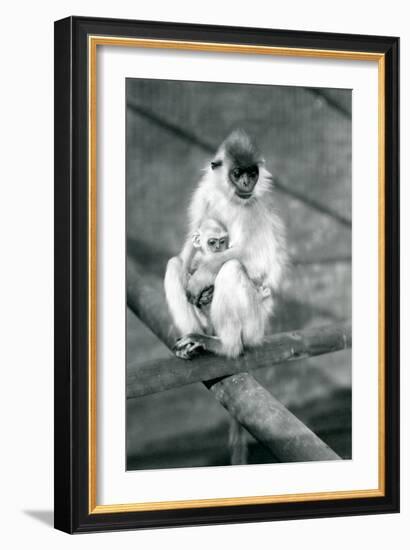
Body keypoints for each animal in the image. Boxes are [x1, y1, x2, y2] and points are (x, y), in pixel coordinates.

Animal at [165, 130, 286, 362]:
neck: (231, 200)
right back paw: (194, 341)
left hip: (254, 327)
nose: (247, 183)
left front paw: (201, 277)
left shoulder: (253, 209)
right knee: (175, 264)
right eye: (238, 173)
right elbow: (190, 245)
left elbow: (257, 262)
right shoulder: (204, 193)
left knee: (232, 267)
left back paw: (226, 346)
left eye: (252, 173)